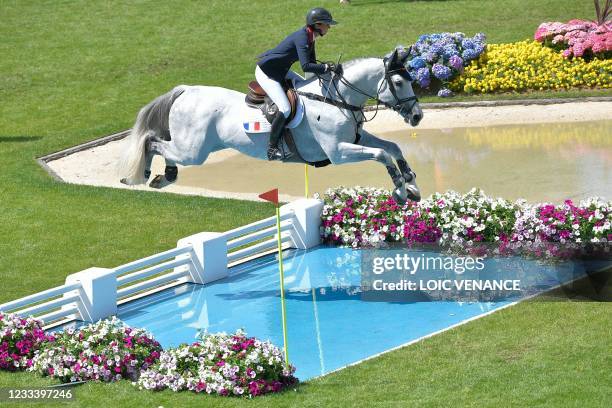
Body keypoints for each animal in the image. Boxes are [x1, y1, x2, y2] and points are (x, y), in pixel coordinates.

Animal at [120, 47, 426, 202]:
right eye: (398, 82)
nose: (417, 116)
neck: (337, 98)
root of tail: (185, 90)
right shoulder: (338, 151)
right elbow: (382, 154)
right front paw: (400, 190)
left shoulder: (356, 139)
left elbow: (393, 147)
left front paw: (412, 184)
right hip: (193, 151)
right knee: (153, 142)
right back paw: (144, 176)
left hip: (193, 148)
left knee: (160, 145)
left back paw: (162, 177)